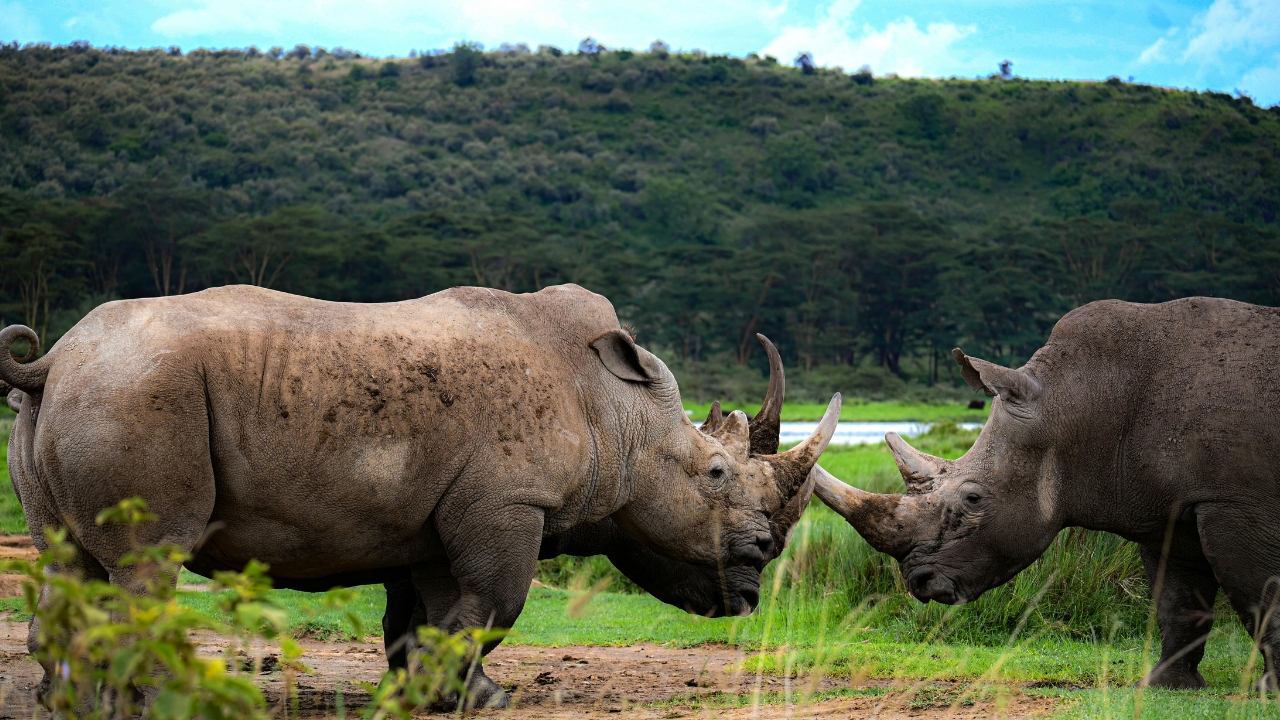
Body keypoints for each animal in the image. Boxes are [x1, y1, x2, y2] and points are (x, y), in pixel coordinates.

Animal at [0, 283, 839, 707]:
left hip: (82, 396)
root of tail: (51, 360)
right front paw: (473, 694)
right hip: (139, 392)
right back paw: (157, 697)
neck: (616, 409)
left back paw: (75, 702)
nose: (761, 556)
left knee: (66, 560)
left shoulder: (432, 515)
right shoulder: (510, 500)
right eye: (716, 475)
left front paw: (444, 693)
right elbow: (495, 604)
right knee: (149, 561)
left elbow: (428, 617)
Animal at [815, 297, 1280, 691]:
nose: (920, 583)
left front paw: (1267, 690)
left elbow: (1259, 591)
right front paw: (1167, 686)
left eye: (973, 500)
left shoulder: (1236, 501)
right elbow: (1177, 599)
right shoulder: (1168, 506)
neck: (1082, 401)